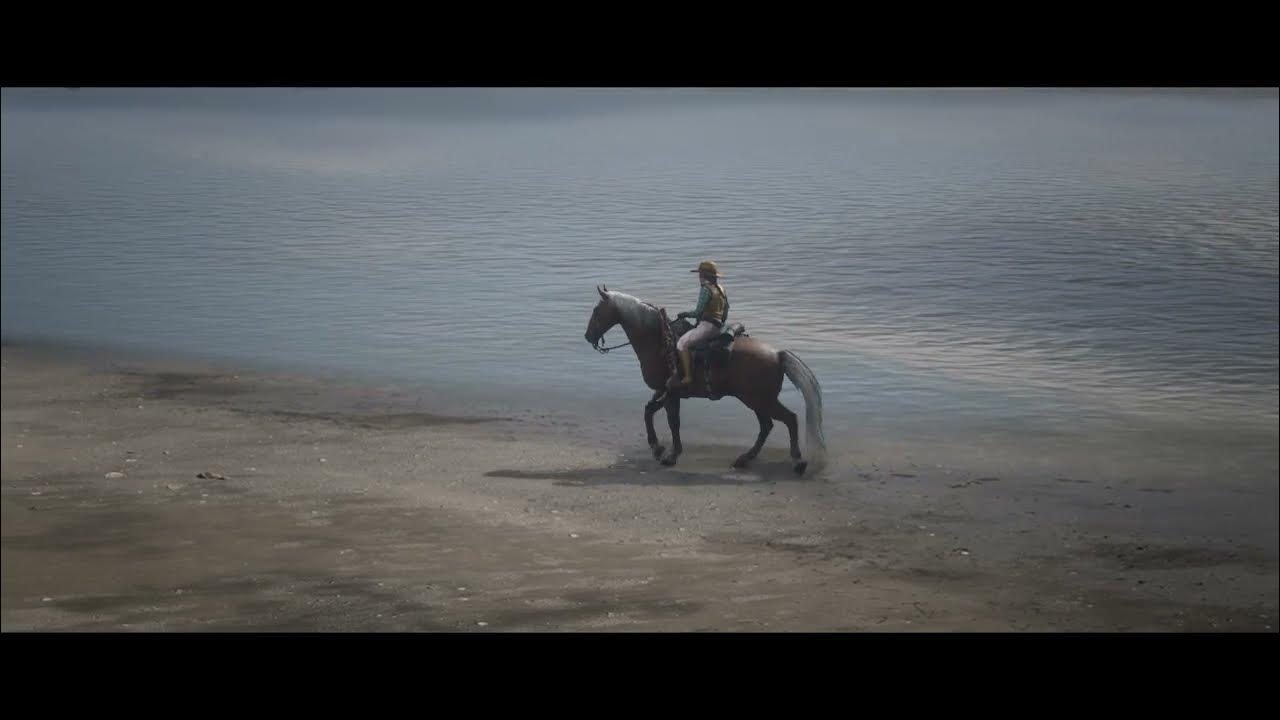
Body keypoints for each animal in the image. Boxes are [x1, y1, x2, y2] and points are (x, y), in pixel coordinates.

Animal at [584, 285, 825, 474]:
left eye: (597, 310)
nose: (587, 336)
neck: (660, 342)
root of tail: (777, 354)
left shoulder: (671, 393)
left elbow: (673, 422)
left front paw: (671, 454)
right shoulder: (665, 390)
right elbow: (648, 411)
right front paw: (657, 447)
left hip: (759, 400)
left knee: (789, 419)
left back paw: (797, 461)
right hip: (757, 401)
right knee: (767, 426)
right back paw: (745, 459)